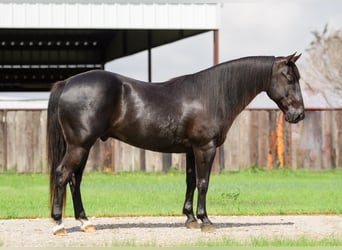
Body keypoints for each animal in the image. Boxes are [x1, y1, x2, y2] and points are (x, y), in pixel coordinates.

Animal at [47, 52, 304, 234]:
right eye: (290, 78)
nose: (299, 115)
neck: (210, 96)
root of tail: (66, 83)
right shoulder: (205, 148)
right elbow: (203, 183)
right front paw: (205, 220)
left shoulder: (191, 150)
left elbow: (190, 182)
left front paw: (190, 218)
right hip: (79, 146)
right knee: (62, 175)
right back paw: (59, 225)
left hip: (83, 147)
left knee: (75, 181)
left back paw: (85, 222)